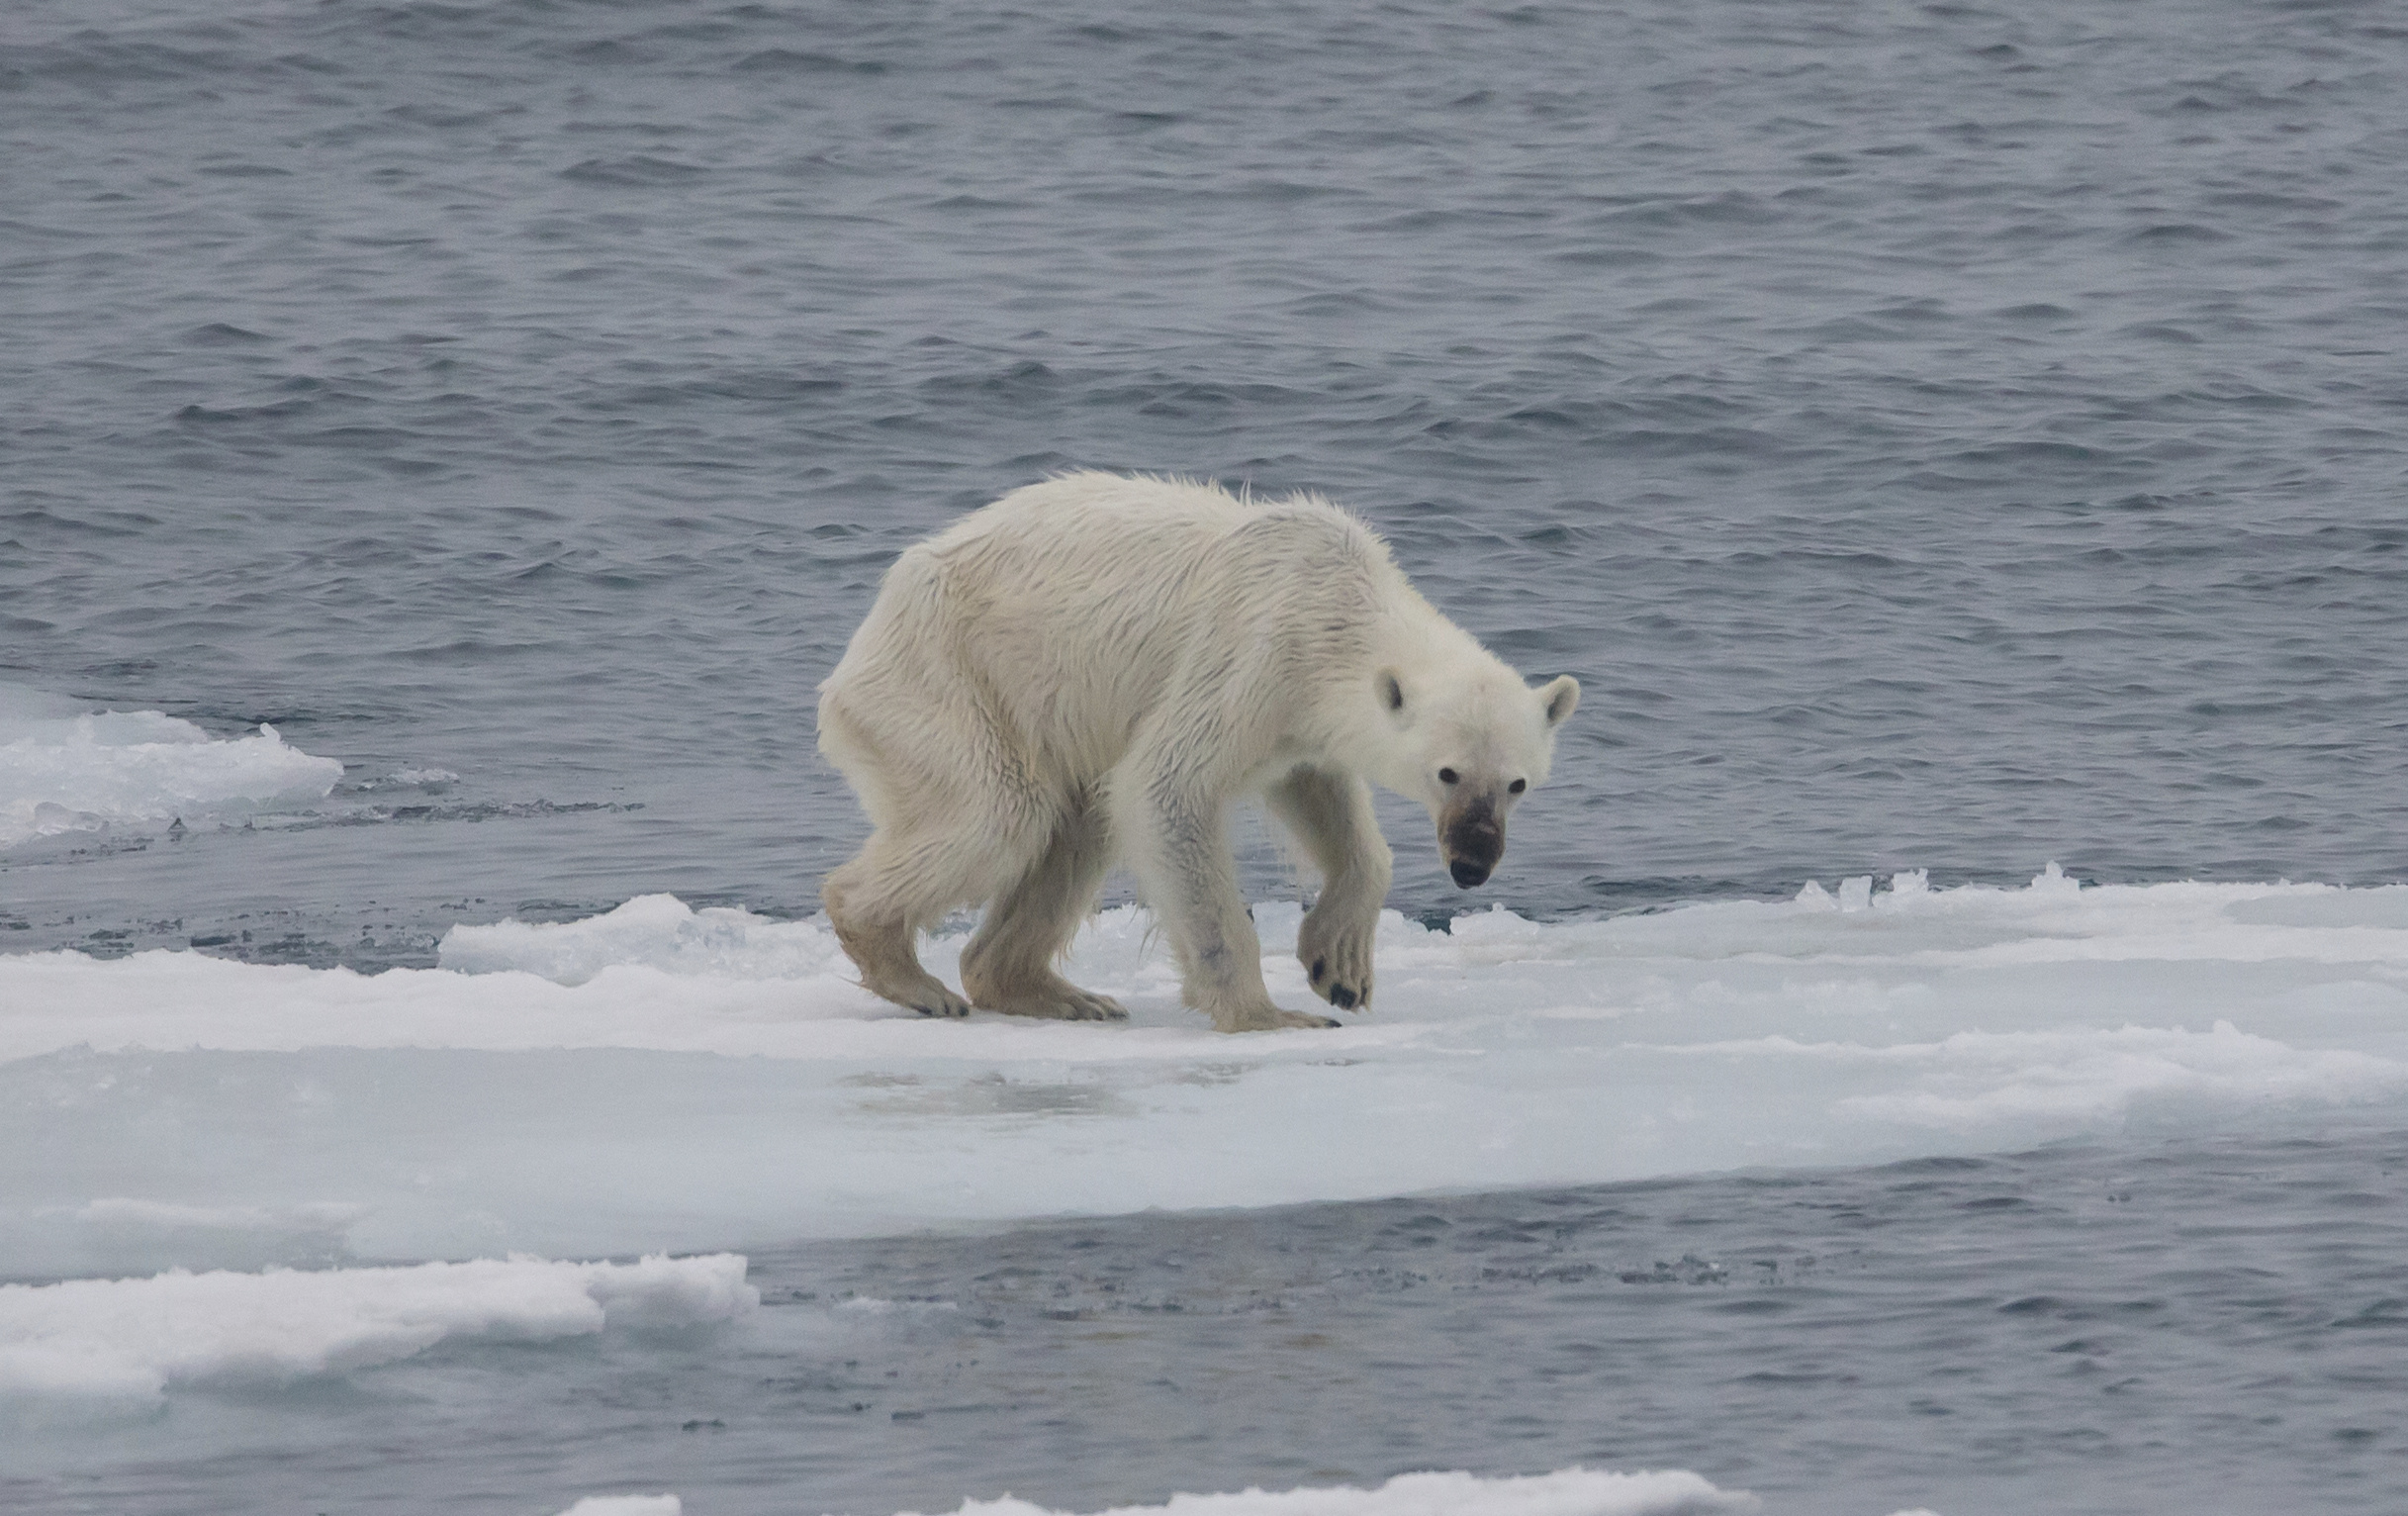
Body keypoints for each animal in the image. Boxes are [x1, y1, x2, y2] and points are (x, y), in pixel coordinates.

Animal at [816, 472, 1579, 1033]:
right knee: (1001, 813)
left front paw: (1339, 966)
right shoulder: (1251, 652)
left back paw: (1057, 993)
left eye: (1517, 783)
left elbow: (1321, 795)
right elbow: (1166, 787)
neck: (1336, 605)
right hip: (950, 679)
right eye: (1447, 772)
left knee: (1077, 825)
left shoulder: (1297, 717)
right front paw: (1270, 1015)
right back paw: (913, 974)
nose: (1473, 863)